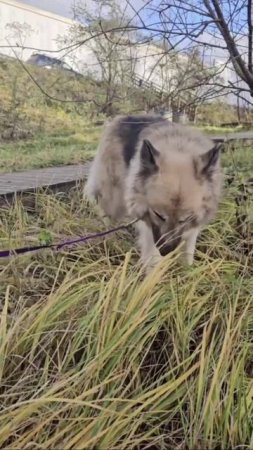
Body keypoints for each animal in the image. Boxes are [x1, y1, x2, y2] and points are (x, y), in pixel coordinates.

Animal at [85, 114, 223, 272]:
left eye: (185, 219)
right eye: (158, 215)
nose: (166, 251)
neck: (178, 148)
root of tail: (123, 117)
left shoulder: (192, 226)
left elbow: (188, 251)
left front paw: (188, 272)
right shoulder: (150, 227)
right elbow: (152, 259)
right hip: (113, 199)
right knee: (107, 215)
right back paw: (111, 239)